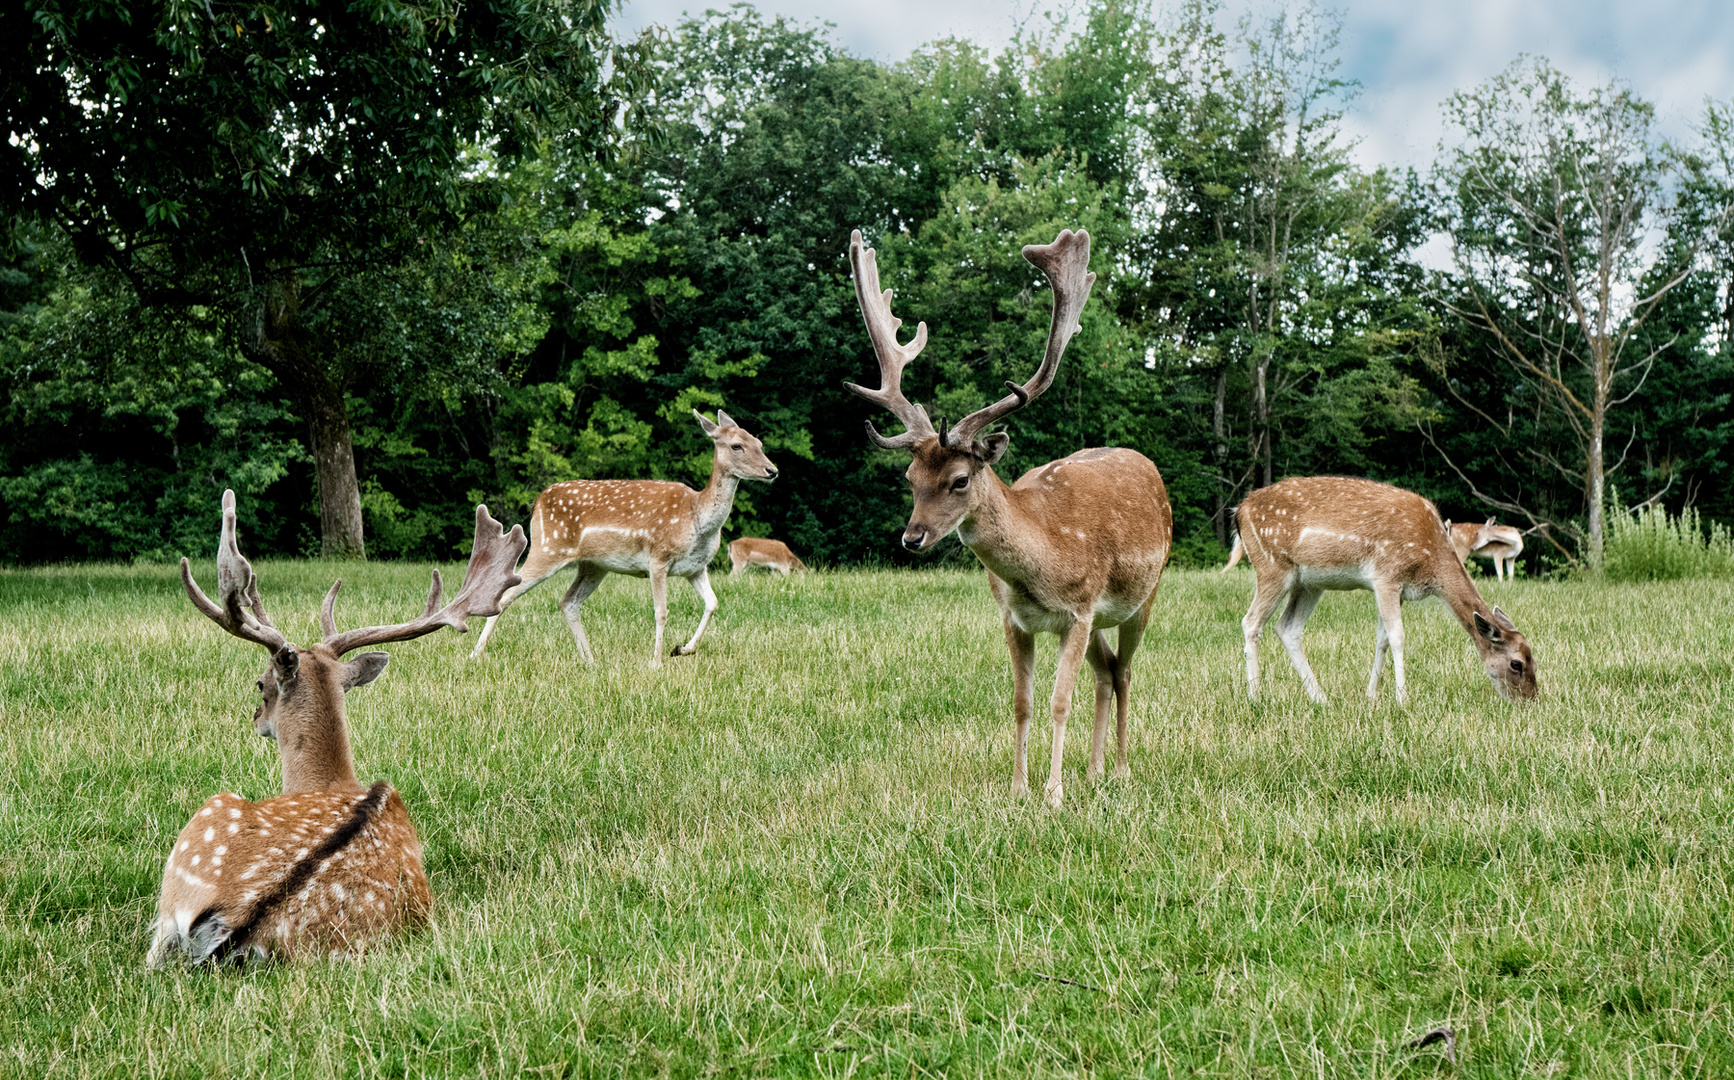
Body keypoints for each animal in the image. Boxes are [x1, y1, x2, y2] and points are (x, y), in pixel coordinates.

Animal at [468, 409, 780, 669]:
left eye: (759, 443)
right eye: (736, 445)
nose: (772, 470)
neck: (698, 519)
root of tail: (538, 501)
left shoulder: (696, 567)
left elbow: (713, 603)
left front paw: (682, 649)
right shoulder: (658, 558)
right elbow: (661, 611)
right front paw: (656, 662)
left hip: (593, 565)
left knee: (568, 602)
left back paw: (590, 660)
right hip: (548, 547)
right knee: (506, 595)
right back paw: (475, 653)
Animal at [842, 228, 1172, 807]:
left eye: (959, 479)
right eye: (909, 476)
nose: (912, 537)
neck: (1041, 567)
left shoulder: (1079, 610)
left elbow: (1059, 701)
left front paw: (1053, 795)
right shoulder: (1016, 619)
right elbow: (1022, 702)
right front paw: (1019, 789)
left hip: (1142, 597)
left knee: (1126, 672)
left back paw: (1120, 770)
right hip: (1102, 622)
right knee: (1107, 671)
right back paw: (1094, 771)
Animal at [1241, 478, 1539, 707]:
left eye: (1533, 658)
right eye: (1516, 664)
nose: (1530, 702)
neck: (1430, 559)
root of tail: (1240, 510)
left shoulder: (1400, 591)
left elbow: (1382, 639)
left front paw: (1371, 696)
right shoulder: (1386, 576)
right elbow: (1398, 637)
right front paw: (1402, 699)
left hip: (1309, 583)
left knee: (1287, 628)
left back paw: (1320, 698)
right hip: (1272, 566)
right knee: (1251, 622)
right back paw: (1256, 697)